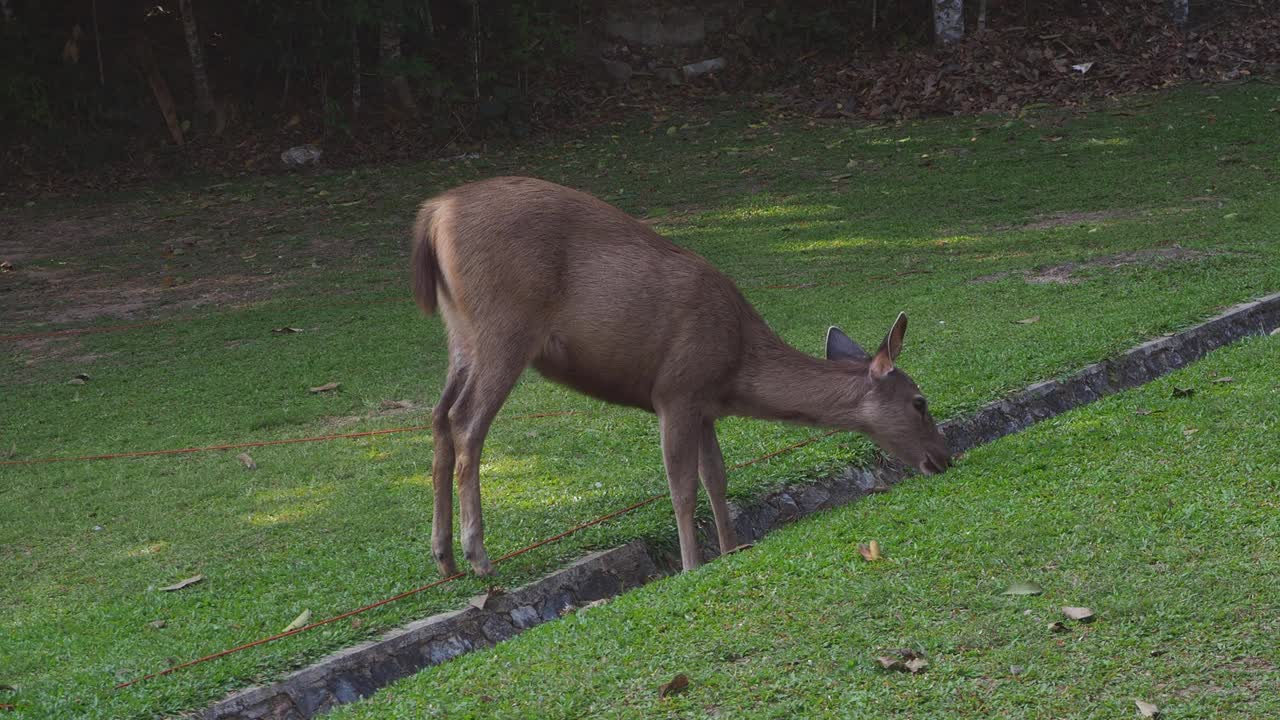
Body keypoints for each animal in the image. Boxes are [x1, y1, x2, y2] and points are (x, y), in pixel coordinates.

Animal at [409, 176, 952, 573]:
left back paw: (444, 559)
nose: (944, 459)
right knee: (466, 421)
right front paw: (693, 564)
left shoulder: (705, 406)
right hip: (504, 325)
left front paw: (731, 548)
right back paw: (479, 557)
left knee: (437, 416)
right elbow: (682, 485)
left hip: (460, 332)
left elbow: (718, 478)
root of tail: (434, 215)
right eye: (920, 402)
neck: (738, 367)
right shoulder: (676, 390)